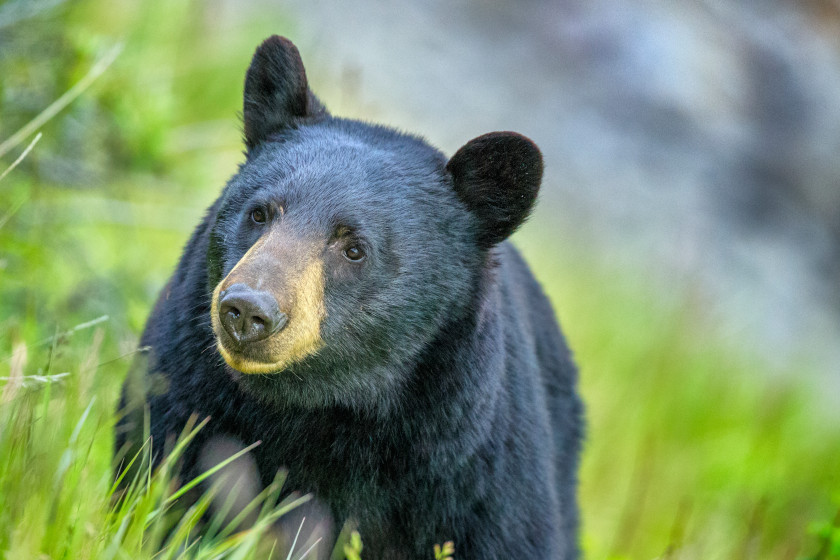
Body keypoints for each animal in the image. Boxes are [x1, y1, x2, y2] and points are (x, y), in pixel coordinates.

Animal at [120, 36, 584, 560]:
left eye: (354, 247)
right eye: (259, 213)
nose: (247, 311)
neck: (326, 409)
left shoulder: (476, 478)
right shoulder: (184, 390)